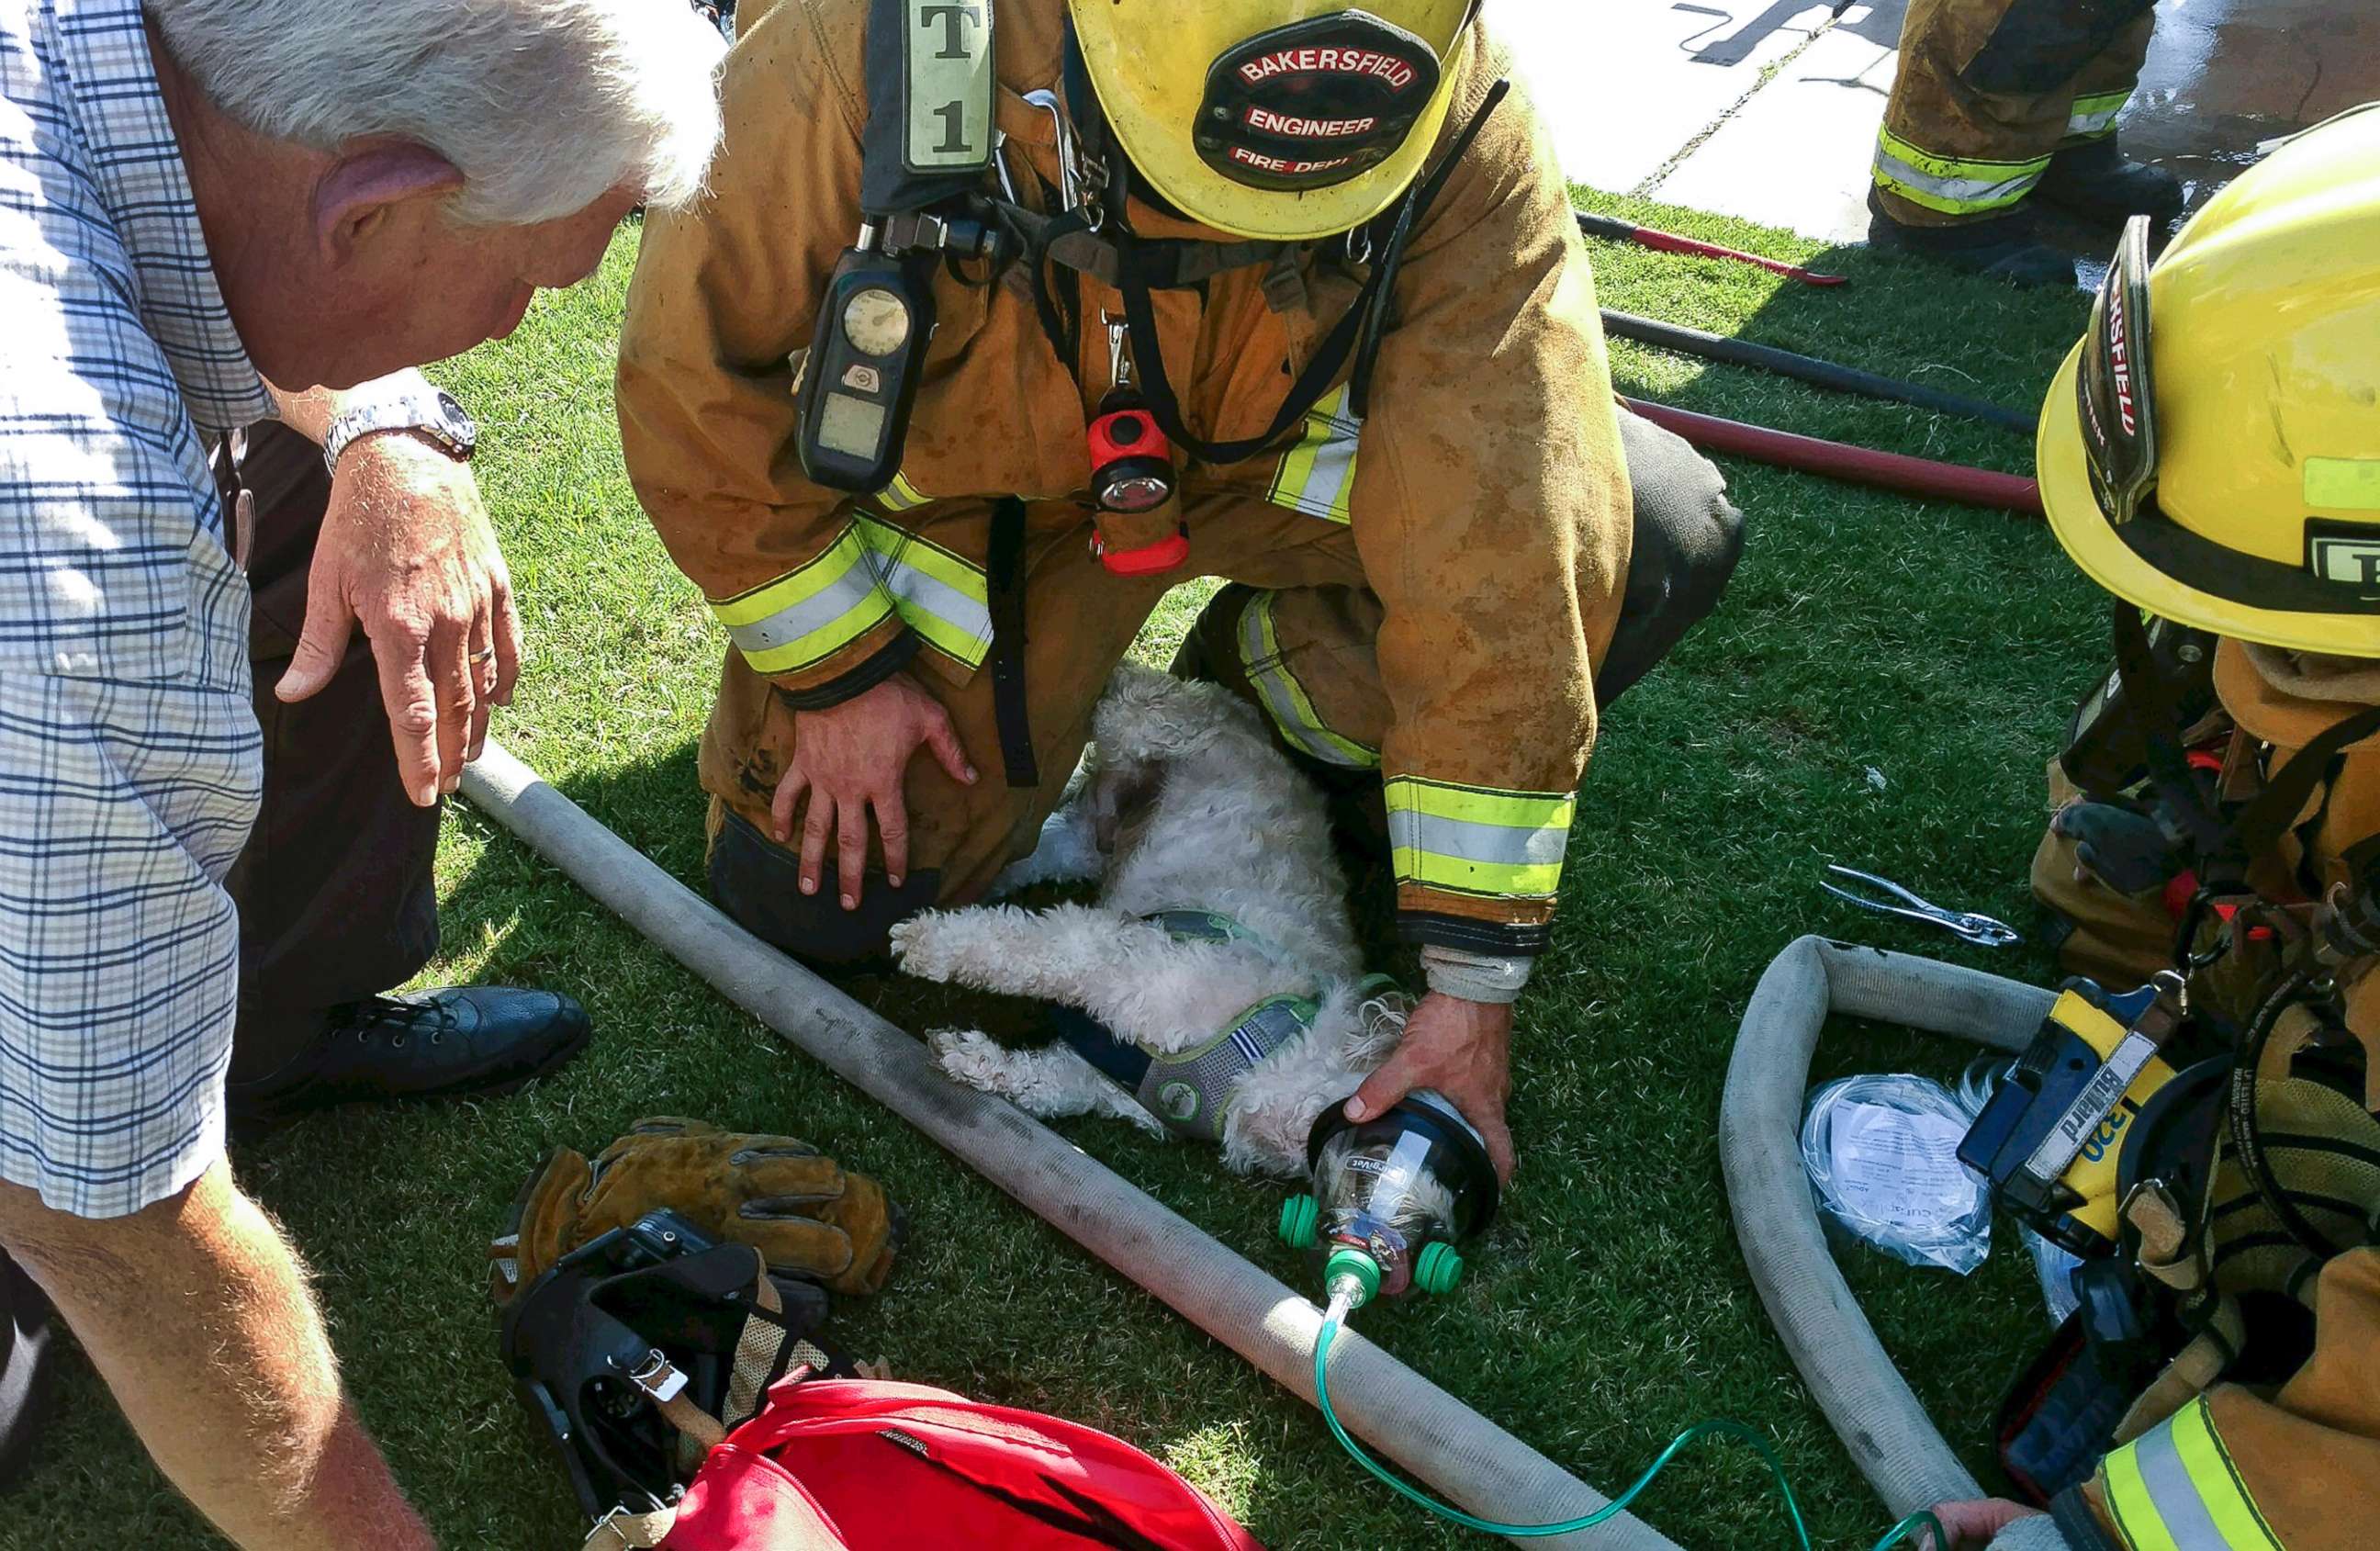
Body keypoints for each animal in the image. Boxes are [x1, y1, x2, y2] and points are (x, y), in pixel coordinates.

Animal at [894, 661, 1409, 1174]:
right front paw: (927, 942)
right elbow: (1026, 948)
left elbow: (1048, 1080)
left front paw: (970, 1058)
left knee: (1029, 850)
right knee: (1118, 690)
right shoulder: (1134, 965)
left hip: (1082, 841)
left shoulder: (1111, 1077)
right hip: (1135, 718)